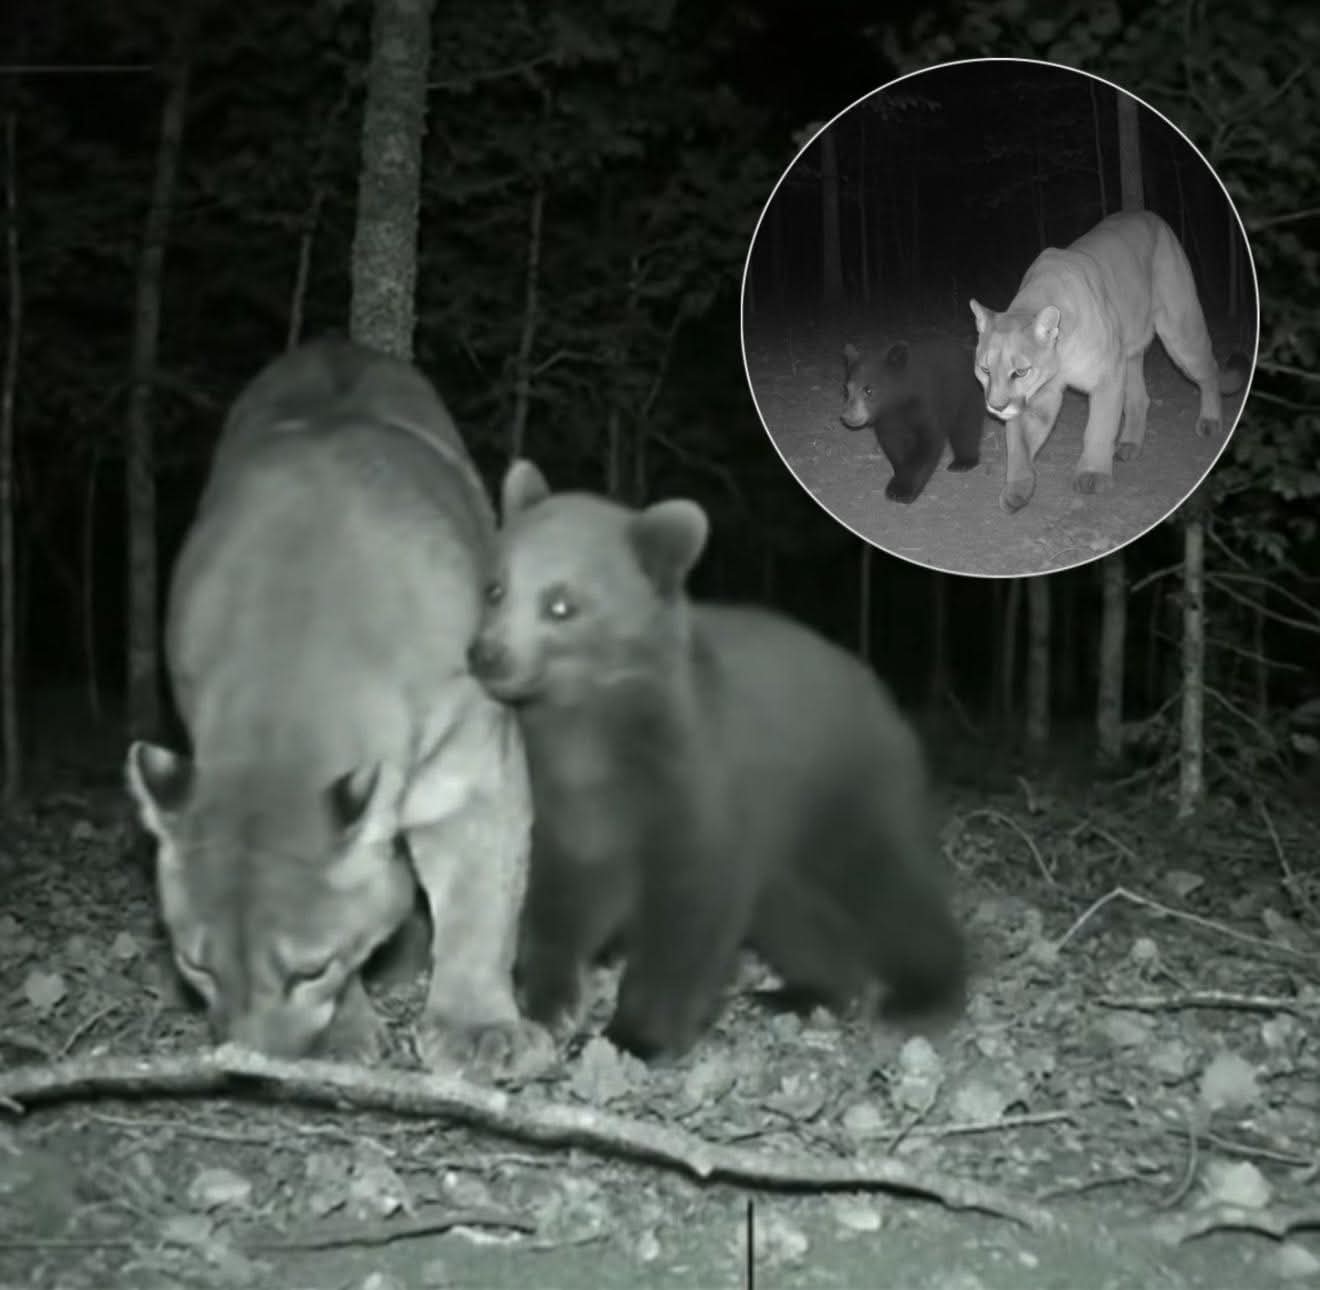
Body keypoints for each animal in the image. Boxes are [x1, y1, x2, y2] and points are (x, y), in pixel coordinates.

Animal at [466, 459, 965, 1060]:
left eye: (561, 603)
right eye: (495, 587)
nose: (487, 654)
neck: (590, 725)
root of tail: (876, 688)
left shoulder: (693, 780)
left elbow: (689, 907)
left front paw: (636, 1033)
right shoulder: (560, 797)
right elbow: (556, 894)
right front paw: (546, 1004)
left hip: (845, 786)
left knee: (888, 884)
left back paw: (922, 993)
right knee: (794, 913)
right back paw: (805, 989)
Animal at [840, 338, 986, 503]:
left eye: (869, 390)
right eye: (846, 390)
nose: (847, 417)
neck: (898, 405)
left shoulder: (926, 404)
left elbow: (929, 443)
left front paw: (901, 490)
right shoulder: (887, 421)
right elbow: (893, 444)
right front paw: (900, 473)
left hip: (965, 395)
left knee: (966, 428)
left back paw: (963, 462)